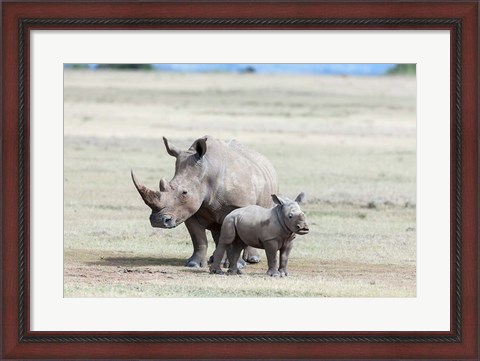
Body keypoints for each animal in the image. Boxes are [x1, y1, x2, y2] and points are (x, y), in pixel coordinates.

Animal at [133, 135, 280, 268]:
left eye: (184, 193)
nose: (158, 221)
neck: (207, 172)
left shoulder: (237, 206)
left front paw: (237, 265)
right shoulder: (188, 210)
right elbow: (198, 238)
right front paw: (194, 264)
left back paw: (252, 260)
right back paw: (216, 259)